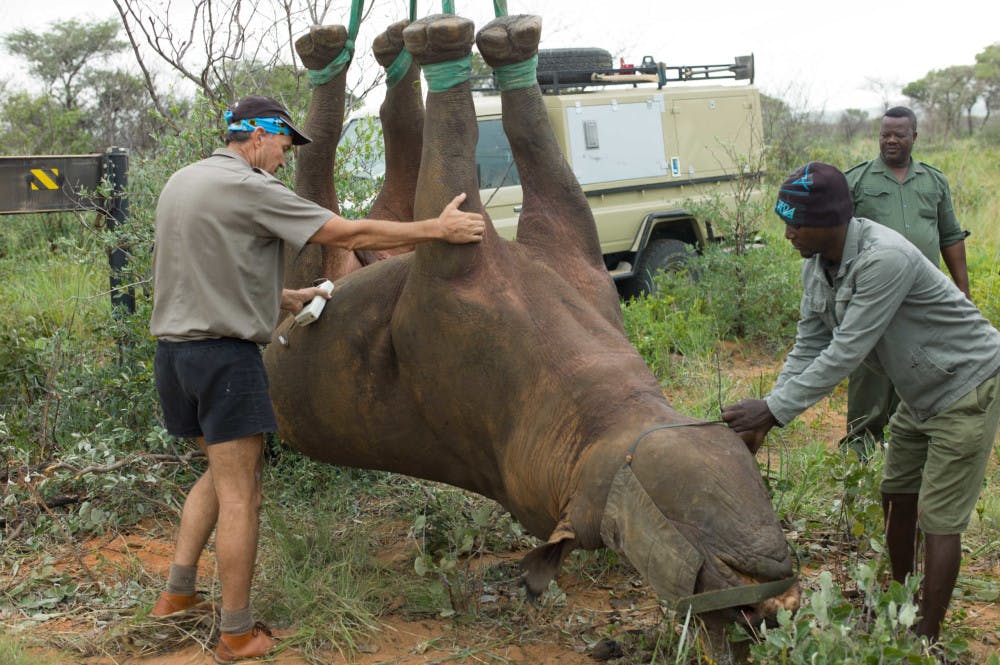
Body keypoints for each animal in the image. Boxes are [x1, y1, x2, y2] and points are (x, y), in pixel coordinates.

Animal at [265, 13, 799, 637]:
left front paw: (496, 48)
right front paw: (478, 46)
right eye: (714, 575)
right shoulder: (483, 262)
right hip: (307, 278)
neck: (585, 401)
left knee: (378, 160)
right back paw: (361, 47)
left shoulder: (544, 255)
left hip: (344, 257)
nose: (772, 605)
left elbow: (504, 150)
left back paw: (383, 45)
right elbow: (491, 158)